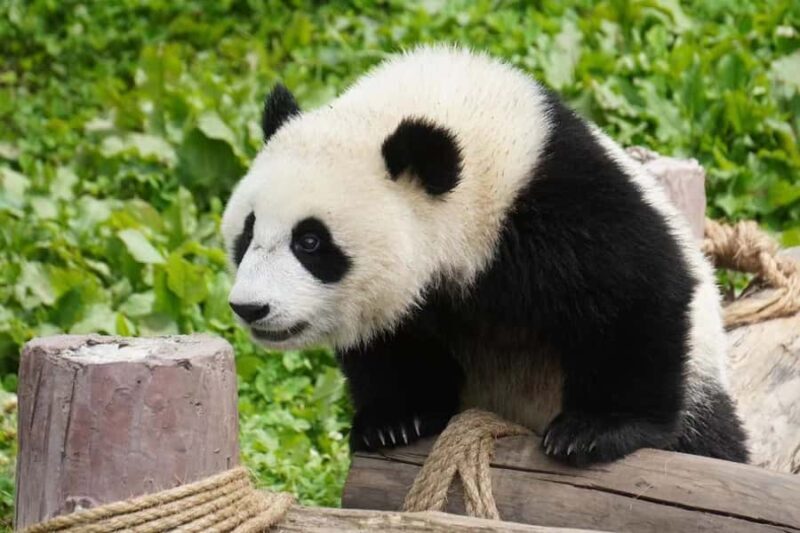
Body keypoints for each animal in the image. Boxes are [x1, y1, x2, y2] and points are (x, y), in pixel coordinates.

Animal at [222, 45, 749, 466]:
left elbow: (636, 290)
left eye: (310, 242)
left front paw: (594, 431)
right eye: (247, 233)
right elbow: (393, 338)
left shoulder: (551, 199)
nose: (250, 308)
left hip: (701, 384)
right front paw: (396, 420)